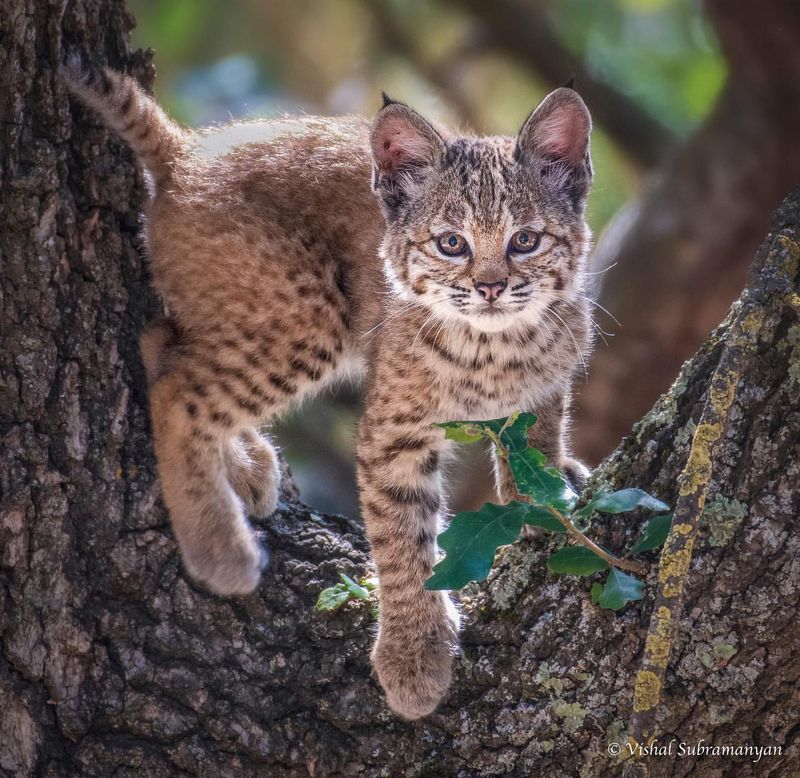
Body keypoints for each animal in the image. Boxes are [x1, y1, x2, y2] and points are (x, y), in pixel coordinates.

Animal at [65, 63, 592, 720]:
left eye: (525, 241)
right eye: (451, 244)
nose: (492, 289)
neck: (498, 342)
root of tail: (187, 153)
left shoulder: (556, 367)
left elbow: (542, 425)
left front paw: (542, 492)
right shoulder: (393, 430)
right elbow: (402, 538)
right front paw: (414, 655)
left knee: (162, 344)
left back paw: (246, 468)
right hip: (310, 312)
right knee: (177, 389)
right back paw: (219, 550)